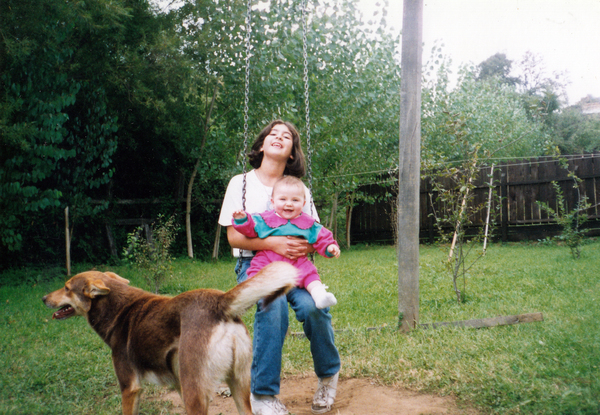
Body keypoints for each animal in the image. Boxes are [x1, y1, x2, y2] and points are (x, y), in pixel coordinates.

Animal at [42, 264, 298, 415]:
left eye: (66, 288)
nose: (44, 298)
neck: (118, 309)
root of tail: (219, 301)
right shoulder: (178, 386)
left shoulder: (130, 388)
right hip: (238, 387)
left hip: (197, 393)